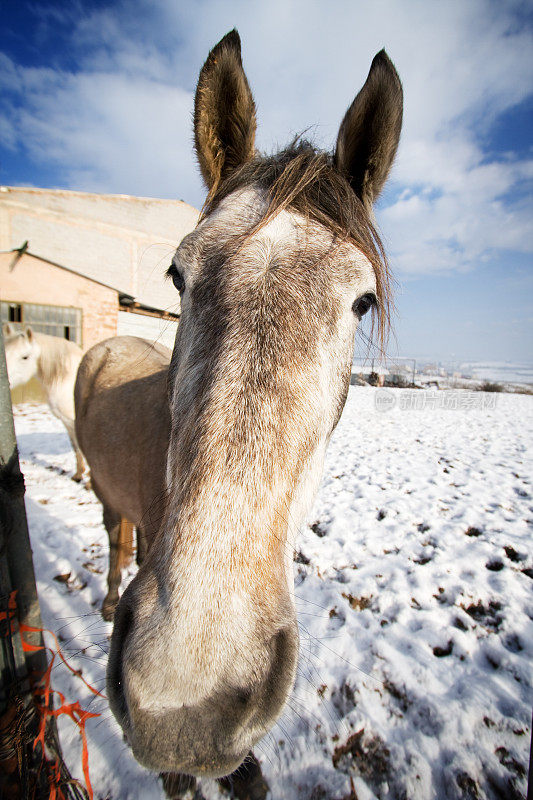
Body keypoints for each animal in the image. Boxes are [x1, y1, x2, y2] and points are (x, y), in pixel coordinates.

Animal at [4, 324, 86, 482]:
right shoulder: (66, 421)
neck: (68, 379)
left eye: (25, 357)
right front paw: (78, 474)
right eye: (4, 352)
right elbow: (76, 447)